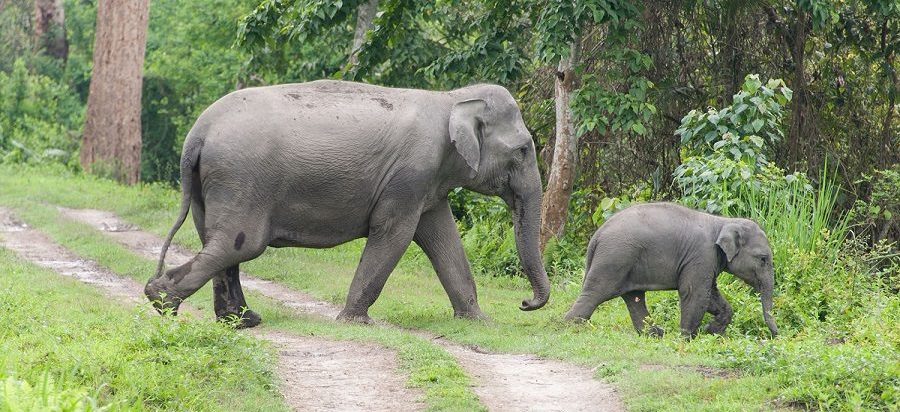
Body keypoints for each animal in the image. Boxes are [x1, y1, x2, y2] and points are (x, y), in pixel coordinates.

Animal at [145, 79, 552, 326]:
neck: (452, 98)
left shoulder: (428, 184)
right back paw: (161, 301)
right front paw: (356, 322)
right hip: (242, 180)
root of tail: (197, 134)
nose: (525, 304)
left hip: (213, 185)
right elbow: (395, 236)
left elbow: (442, 239)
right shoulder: (410, 175)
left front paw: (478, 321)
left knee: (217, 243)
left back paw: (243, 321)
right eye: (522, 150)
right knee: (235, 245)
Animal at [568, 203, 776, 338]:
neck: (722, 222)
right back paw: (572, 327)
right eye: (763, 259)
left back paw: (656, 334)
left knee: (634, 298)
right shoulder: (702, 255)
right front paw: (687, 338)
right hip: (614, 258)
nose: (775, 336)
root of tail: (596, 236)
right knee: (595, 293)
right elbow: (695, 293)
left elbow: (711, 294)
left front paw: (711, 332)